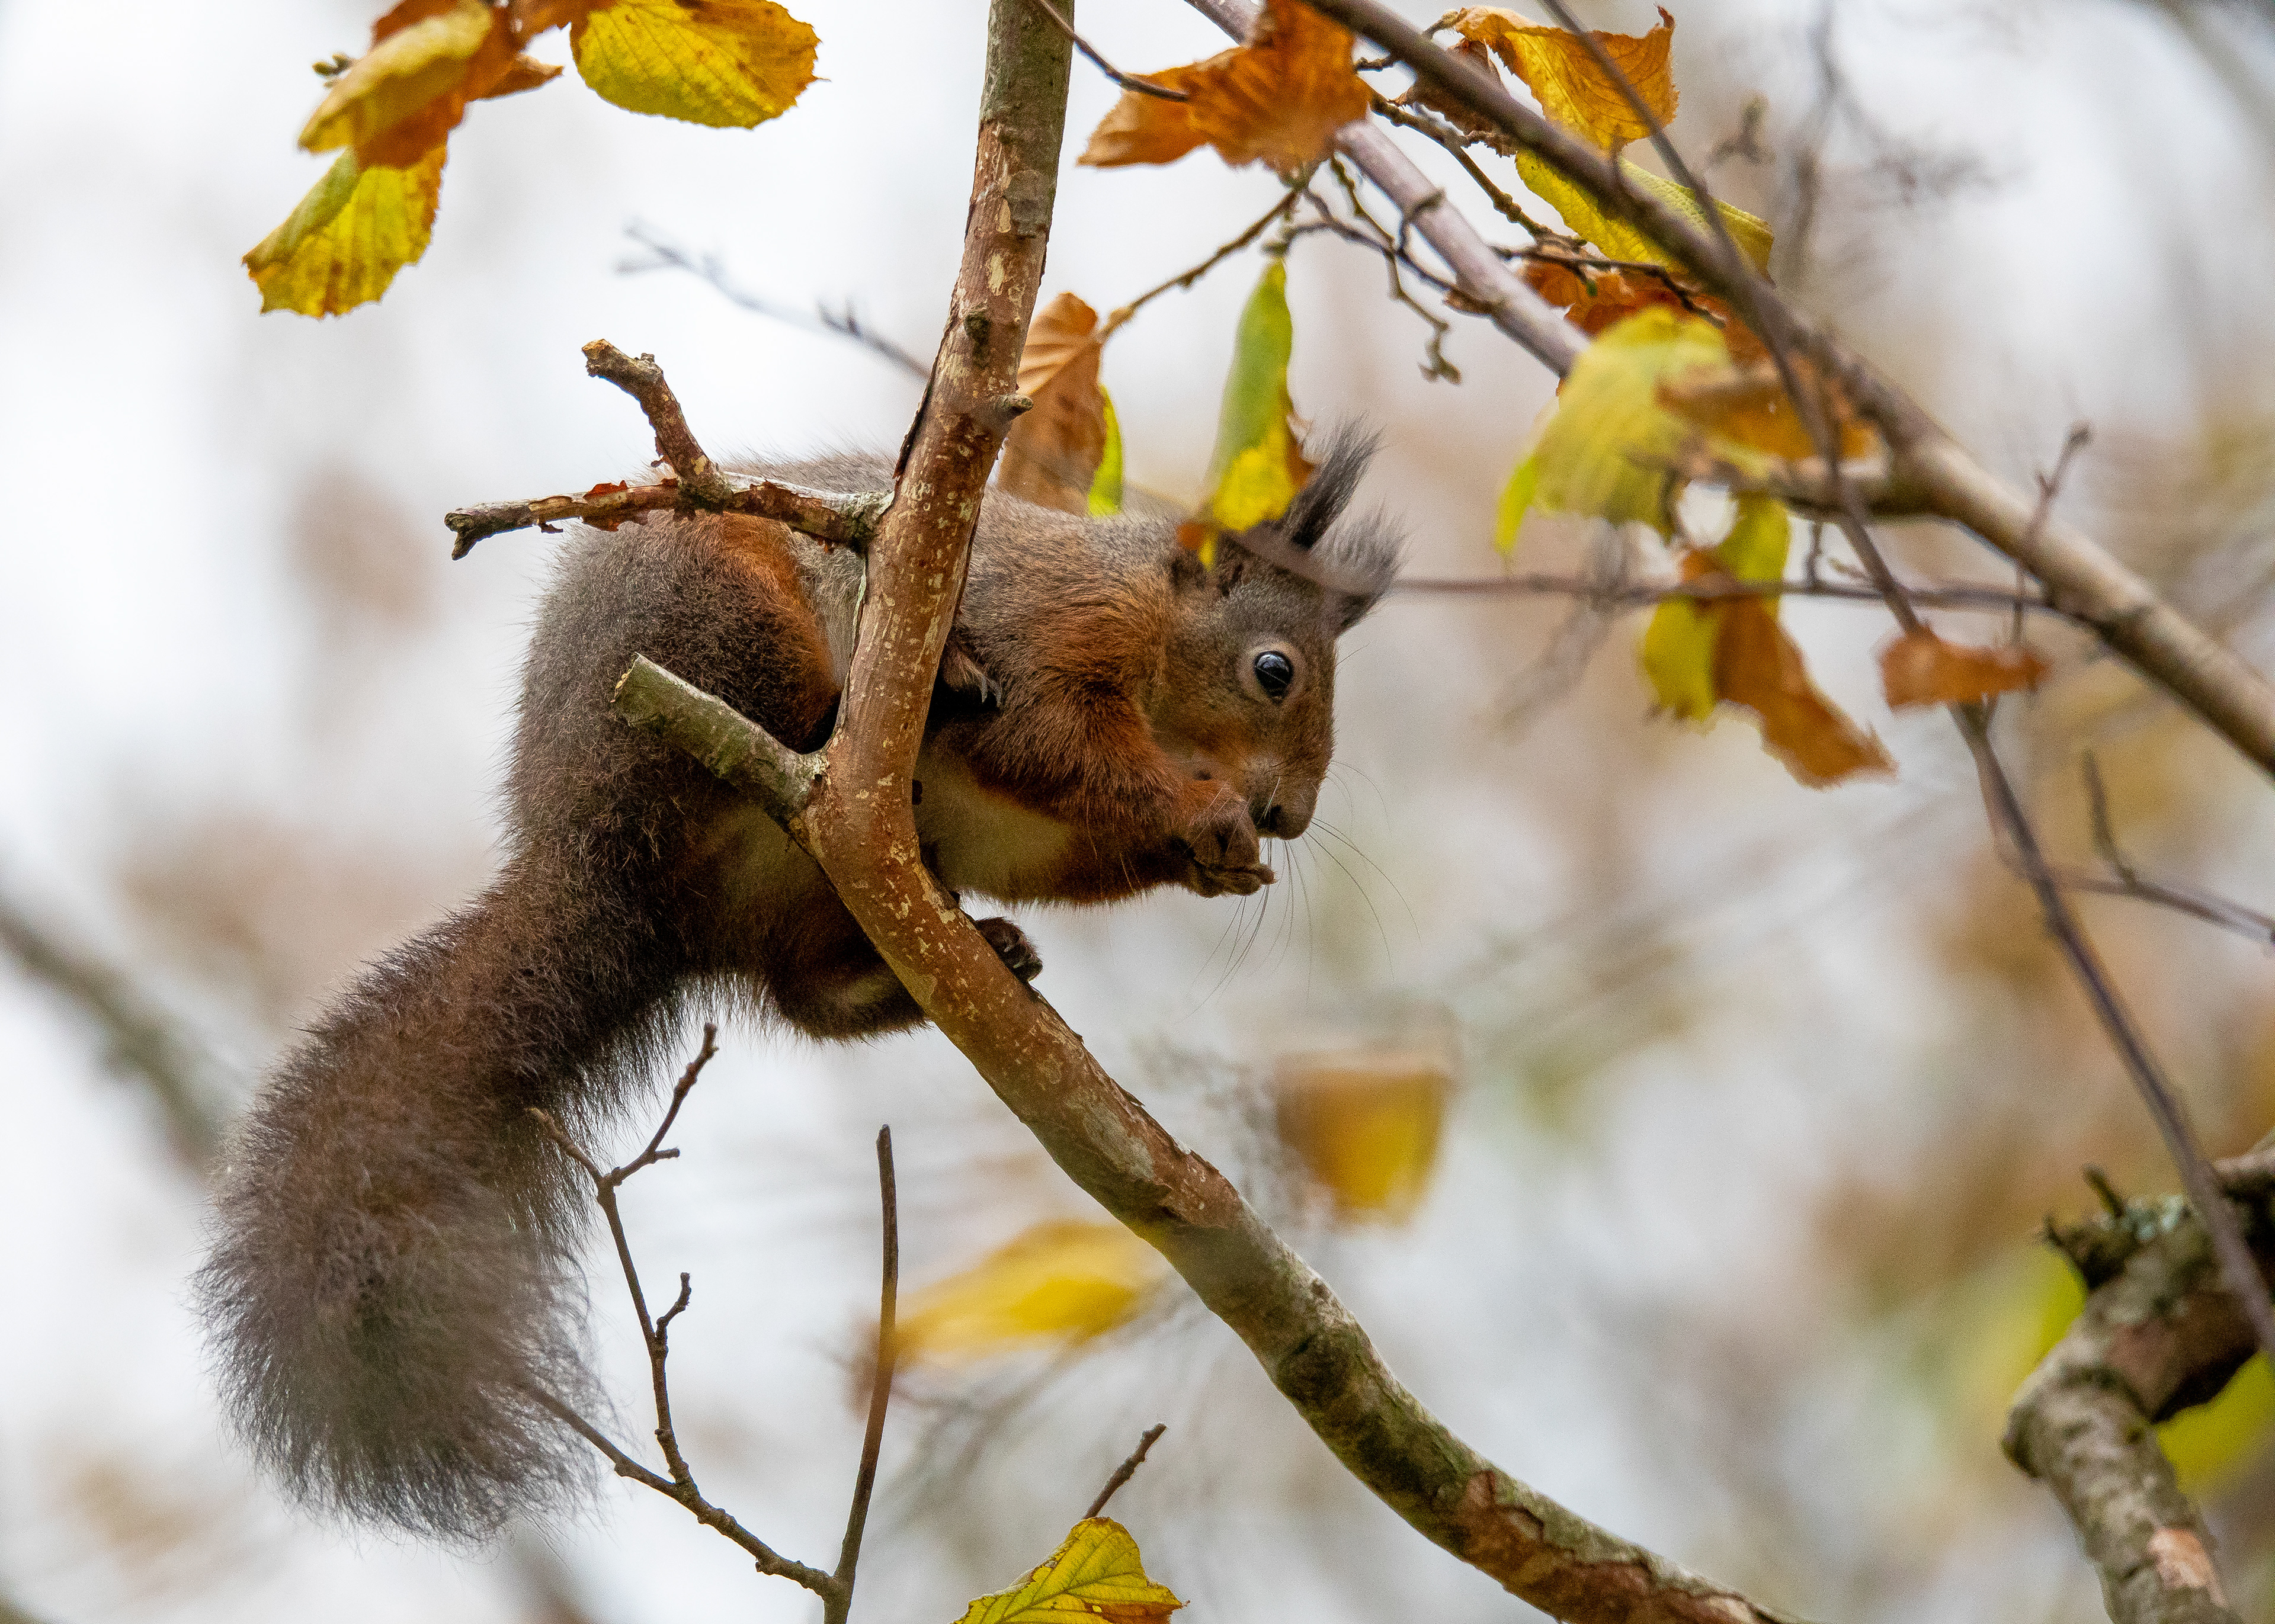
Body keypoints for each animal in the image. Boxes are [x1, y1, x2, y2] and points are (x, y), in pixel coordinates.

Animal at [195, 434, 1398, 1540]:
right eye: (1275, 670)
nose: (1289, 815)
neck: (1150, 624)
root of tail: (593, 870)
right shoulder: (1050, 623)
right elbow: (1049, 739)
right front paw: (1200, 816)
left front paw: (1215, 860)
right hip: (709, 624)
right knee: (769, 719)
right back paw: (886, 707)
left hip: (822, 896)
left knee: (807, 995)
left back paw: (972, 952)